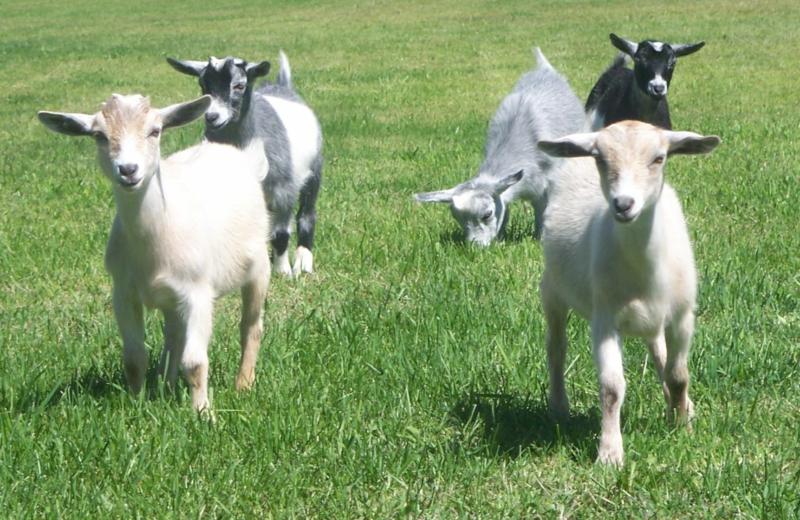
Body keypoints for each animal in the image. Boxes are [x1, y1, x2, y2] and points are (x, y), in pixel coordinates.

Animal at [38, 93, 272, 410]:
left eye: (155, 131)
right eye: (99, 135)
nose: (128, 170)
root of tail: (243, 157)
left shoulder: (198, 293)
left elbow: (195, 362)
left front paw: (202, 412)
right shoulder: (123, 293)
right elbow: (134, 357)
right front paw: (136, 404)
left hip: (259, 267)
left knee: (251, 325)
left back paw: (243, 384)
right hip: (170, 298)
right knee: (173, 334)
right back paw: (167, 383)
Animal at [167, 51, 324, 278]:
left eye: (239, 85)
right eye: (202, 84)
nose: (212, 116)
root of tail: (282, 86)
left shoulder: (283, 190)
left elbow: (281, 233)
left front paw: (283, 271)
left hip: (313, 172)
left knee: (307, 215)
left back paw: (303, 263)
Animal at [416, 47, 584, 245]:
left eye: (487, 214)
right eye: (457, 218)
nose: (475, 246)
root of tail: (544, 68)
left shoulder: (546, 188)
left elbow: (543, 215)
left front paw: (541, 239)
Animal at [536, 120, 720, 466]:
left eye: (659, 158)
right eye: (600, 158)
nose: (623, 204)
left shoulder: (682, 317)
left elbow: (678, 375)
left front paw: (682, 426)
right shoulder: (604, 319)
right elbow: (611, 387)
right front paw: (610, 453)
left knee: (660, 354)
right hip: (551, 290)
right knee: (556, 348)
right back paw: (559, 406)